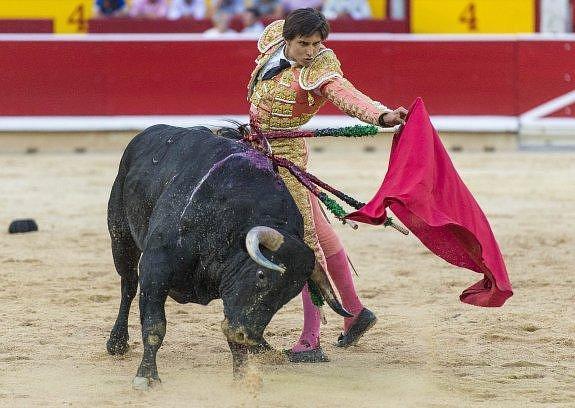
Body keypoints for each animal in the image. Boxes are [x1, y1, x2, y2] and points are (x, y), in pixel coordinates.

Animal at [107, 125, 352, 388]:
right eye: (261, 275)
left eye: (290, 294)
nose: (247, 335)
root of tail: (147, 134)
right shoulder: (155, 267)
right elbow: (154, 325)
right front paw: (146, 377)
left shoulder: (234, 298)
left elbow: (232, 330)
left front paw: (243, 378)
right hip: (121, 238)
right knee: (128, 285)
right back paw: (117, 342)